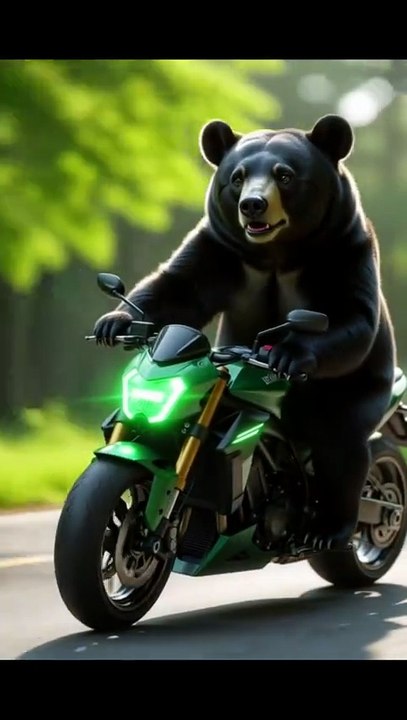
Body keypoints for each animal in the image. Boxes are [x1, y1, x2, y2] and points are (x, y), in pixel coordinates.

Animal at [94, 114, 397, 551]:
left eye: (285, 175)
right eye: (236, 177)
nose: (253, 203)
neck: (276, 253)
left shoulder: (345, 250)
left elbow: (352, 318)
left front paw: (286, 353)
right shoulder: (221, 250)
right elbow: (177, 286)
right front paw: (114, 321)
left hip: (361, 395)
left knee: (343, 450)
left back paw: (332, 531)